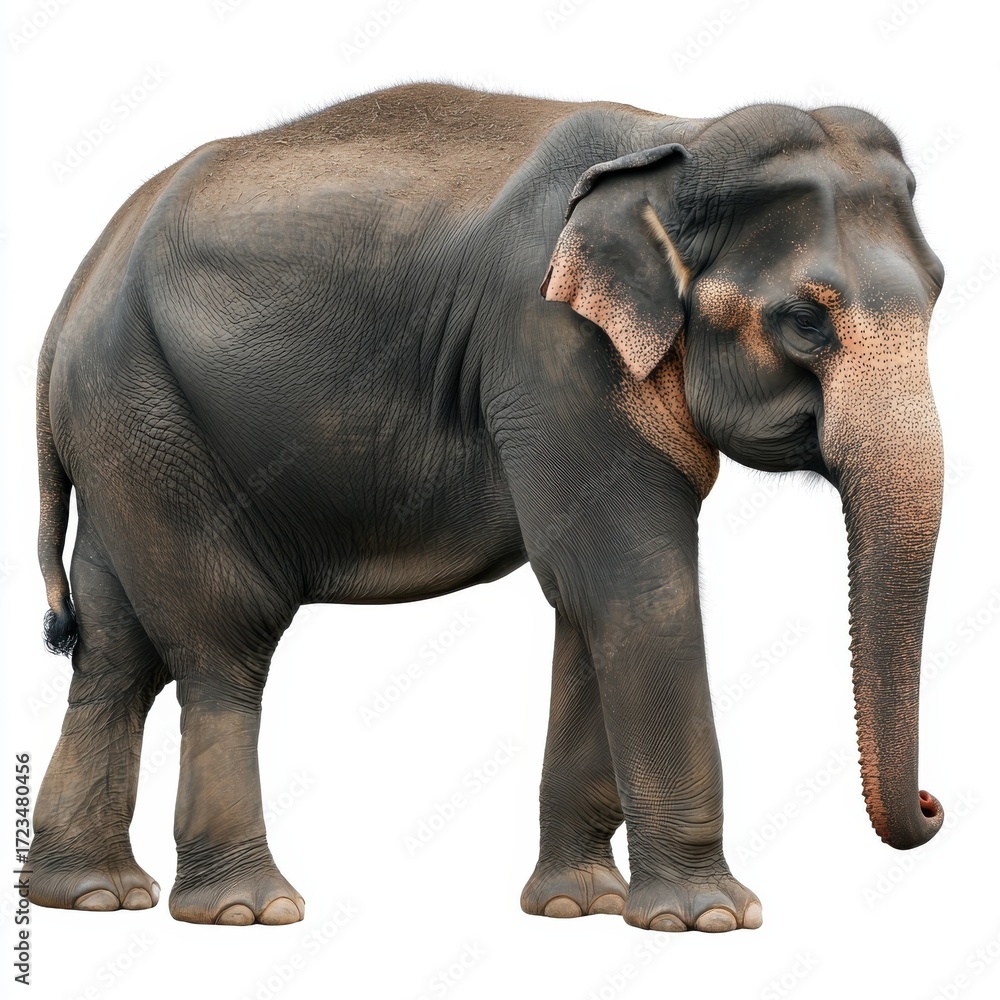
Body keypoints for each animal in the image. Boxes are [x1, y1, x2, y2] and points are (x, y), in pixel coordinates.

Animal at [29, 82, 946, 931]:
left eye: (938, 293)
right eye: (804, 322)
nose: (933, 806)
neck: (678, 137)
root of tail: (75, 284)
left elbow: (586, 600)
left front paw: (579, 904)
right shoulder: (547, 346)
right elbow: (637, 587)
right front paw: (707, 917)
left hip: (125, 430)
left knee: (115, 652)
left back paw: (92, 895)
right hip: (146, 412)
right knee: (223, 639)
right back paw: (245, 909)